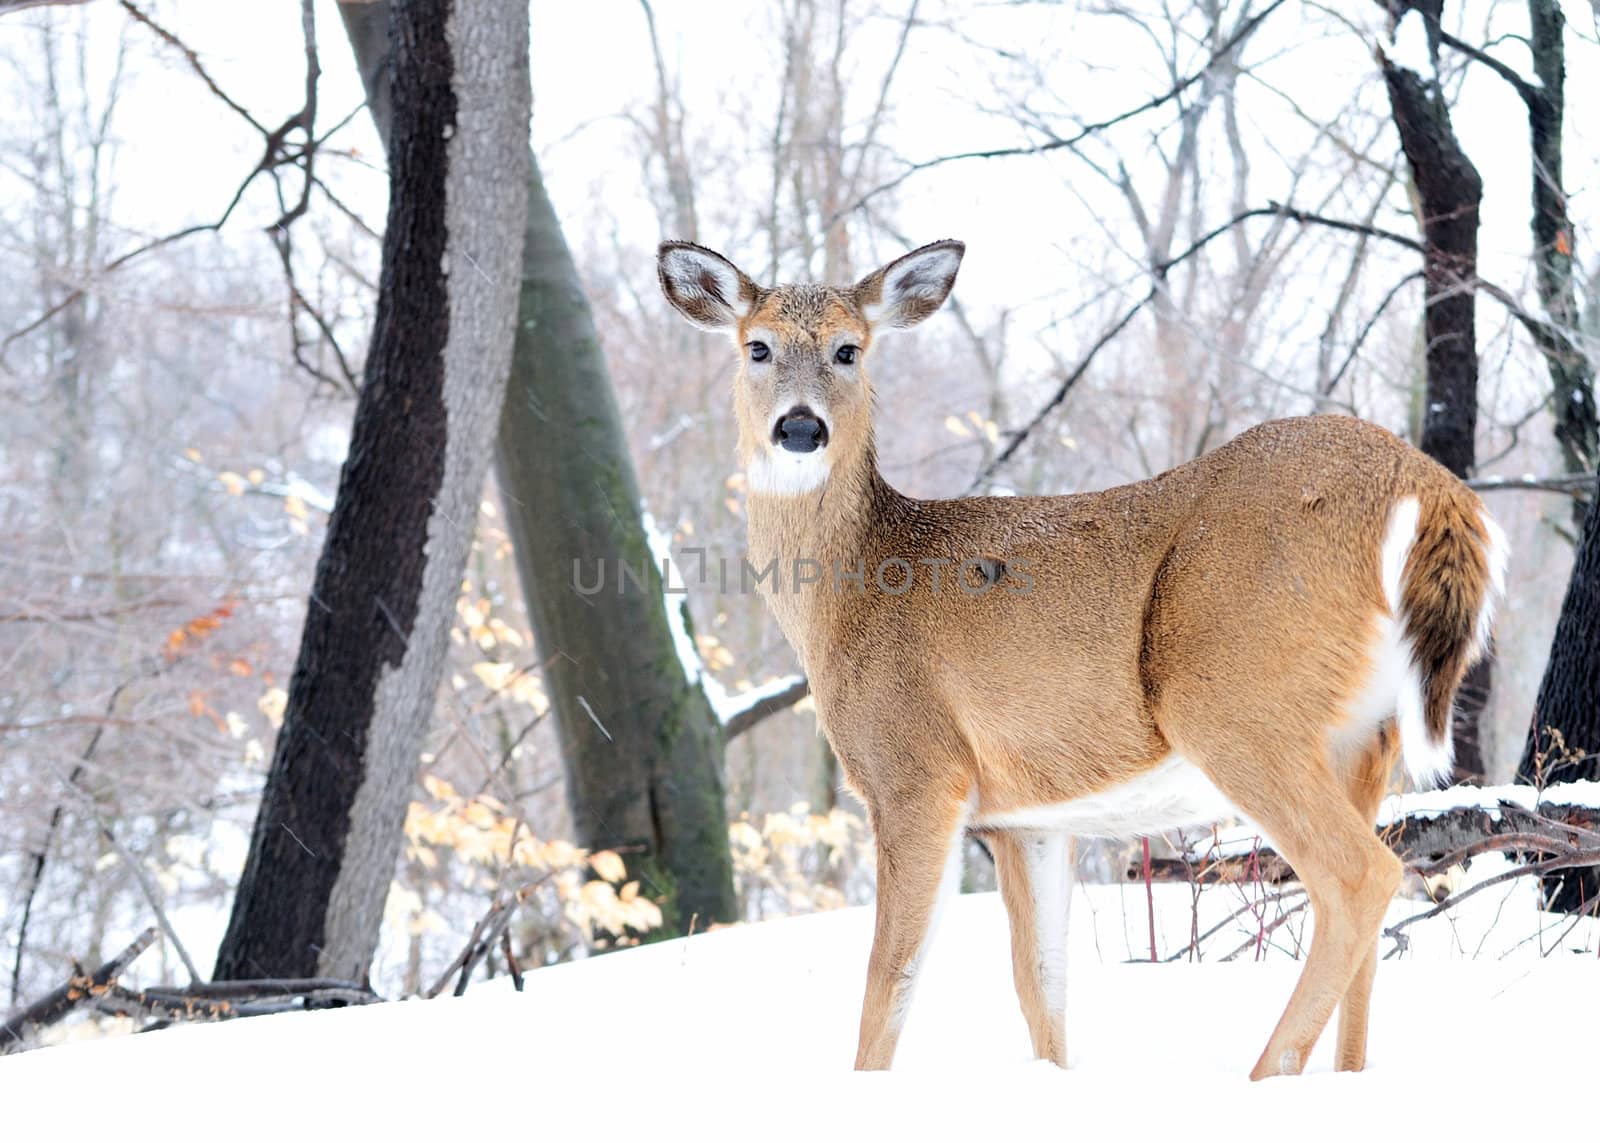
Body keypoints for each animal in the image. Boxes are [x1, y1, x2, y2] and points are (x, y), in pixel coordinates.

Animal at [656, 235, 1504, 1075]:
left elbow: (889, 981)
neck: (853, 592)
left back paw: (1262, 1074)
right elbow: (1042, 989)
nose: (800, 428)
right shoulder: (1028, 818)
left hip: (1233, 698)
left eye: (848, 349)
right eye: (758, 346)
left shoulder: (916, 770)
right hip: (1365, 735)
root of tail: (1433, 491)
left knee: (1361, 875)